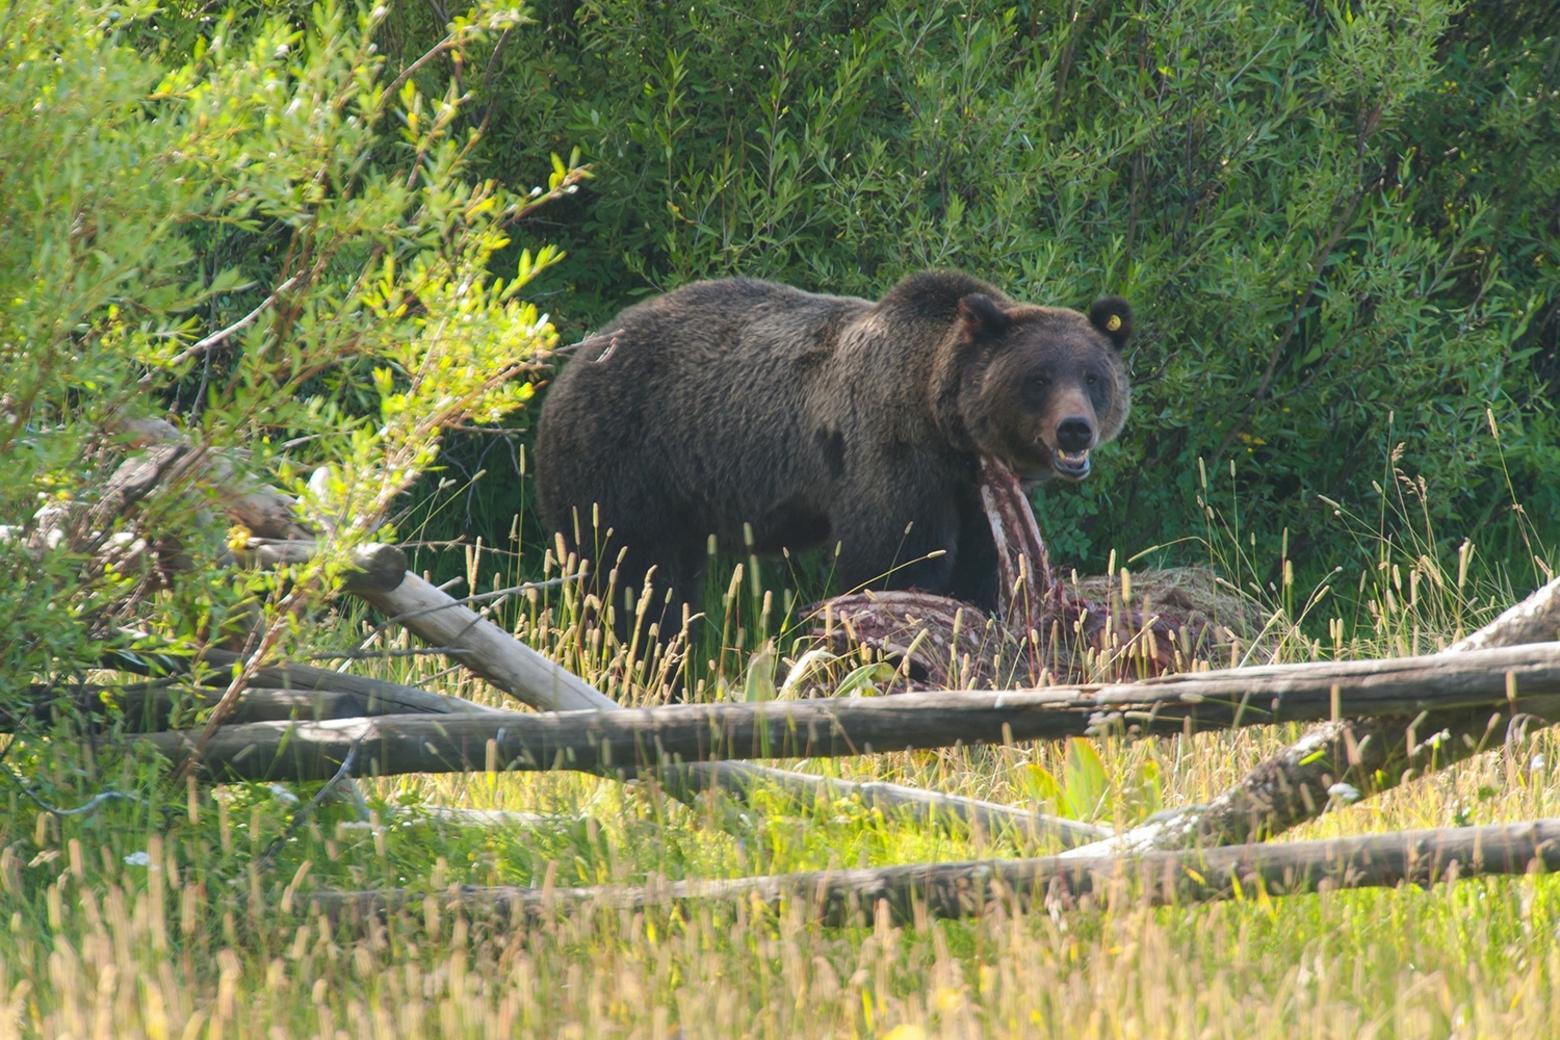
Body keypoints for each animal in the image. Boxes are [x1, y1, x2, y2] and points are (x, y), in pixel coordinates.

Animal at [536, 271, 1135, 636]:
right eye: (1038, 378)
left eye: (1092, 376)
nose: (1075, 431)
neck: (944, 428)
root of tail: (572, 363)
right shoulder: (888, 454)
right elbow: (894, 562)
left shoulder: (976, 494)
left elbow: (980, 570)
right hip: (626, 462)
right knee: (629, 576)